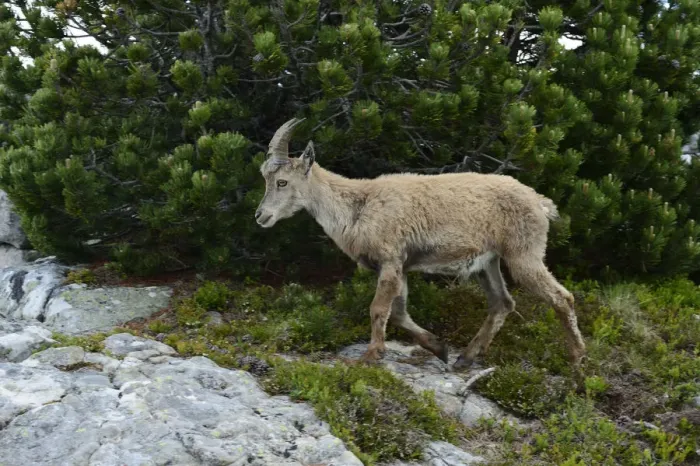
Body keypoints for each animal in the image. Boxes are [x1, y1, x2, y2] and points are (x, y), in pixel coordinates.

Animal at [255, 118, 587, 371]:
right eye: (266, 178)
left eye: (282, 181)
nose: (260, 216)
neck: (358, 205)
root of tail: (540, 203)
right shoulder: (401, 266)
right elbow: (399, 312)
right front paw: (439, 347)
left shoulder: (390, 259)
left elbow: (379, 309)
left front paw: (371, 355)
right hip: (488, 262)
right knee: (502, 302)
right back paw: (465, 358)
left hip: (523, 254)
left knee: (562, 297)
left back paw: (578, 362)